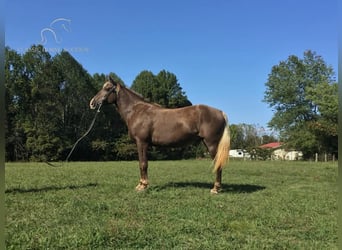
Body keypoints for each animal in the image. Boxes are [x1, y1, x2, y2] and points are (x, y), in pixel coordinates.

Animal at [89, 76, 231, 193]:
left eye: (107, 88)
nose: (92, 103)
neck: (136, 111)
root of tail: (220, 112)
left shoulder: (142, 142)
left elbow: (143, 163)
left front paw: (143, 186)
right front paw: (141, 184)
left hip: (211, 144)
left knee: (218, 164)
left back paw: (215, 189)